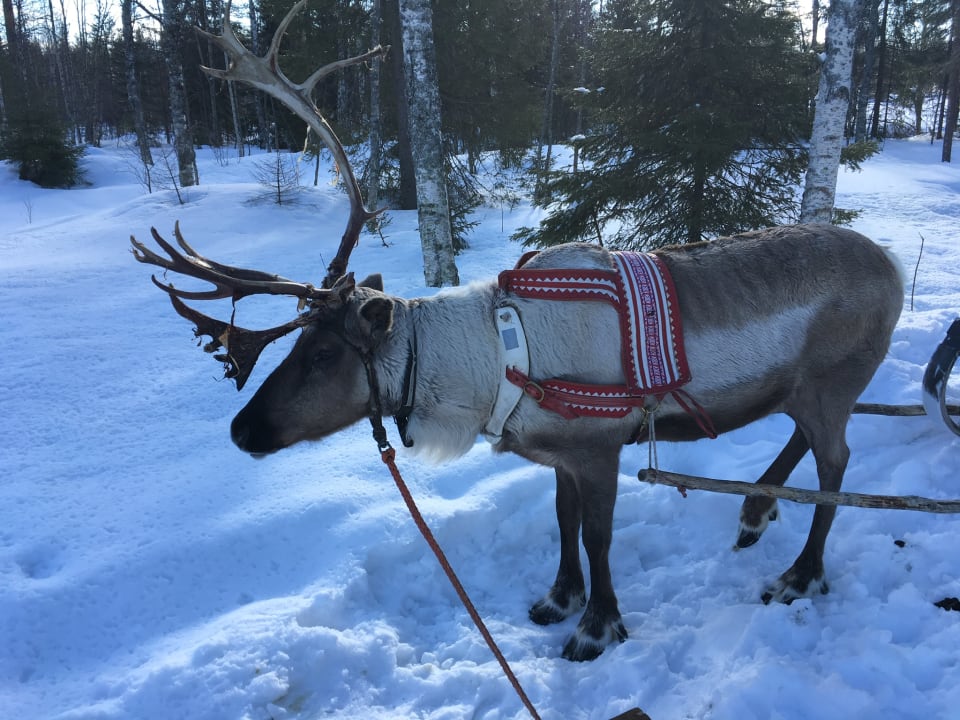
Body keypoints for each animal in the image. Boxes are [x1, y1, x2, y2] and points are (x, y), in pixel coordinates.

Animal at [131, 1, 905, 662]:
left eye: (321, 353)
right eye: (296, 345)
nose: (241, 430)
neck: (493, 363)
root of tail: (894, 266)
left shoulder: (598, 446)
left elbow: (596, 536)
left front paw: (596, 626)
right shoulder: (558, 453)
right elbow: (562, 522)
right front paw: (559, 599)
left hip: (832, 383)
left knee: (837, 464)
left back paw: (798, 573)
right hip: (805, 387)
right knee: (808, 442)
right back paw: (754, 510)